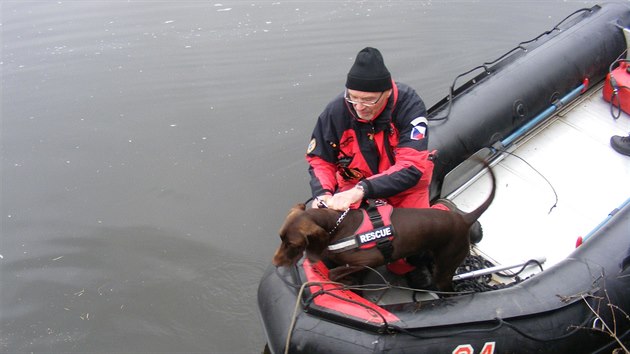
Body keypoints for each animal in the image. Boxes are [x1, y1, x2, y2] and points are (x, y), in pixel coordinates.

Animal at [274, 162, 496, 292]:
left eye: (292, 244)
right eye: (280, 238)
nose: (275, 263)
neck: (338, 226)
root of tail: (464, 219)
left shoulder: (370, 260)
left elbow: (333, 273)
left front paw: (347, 281)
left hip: (446, 266)